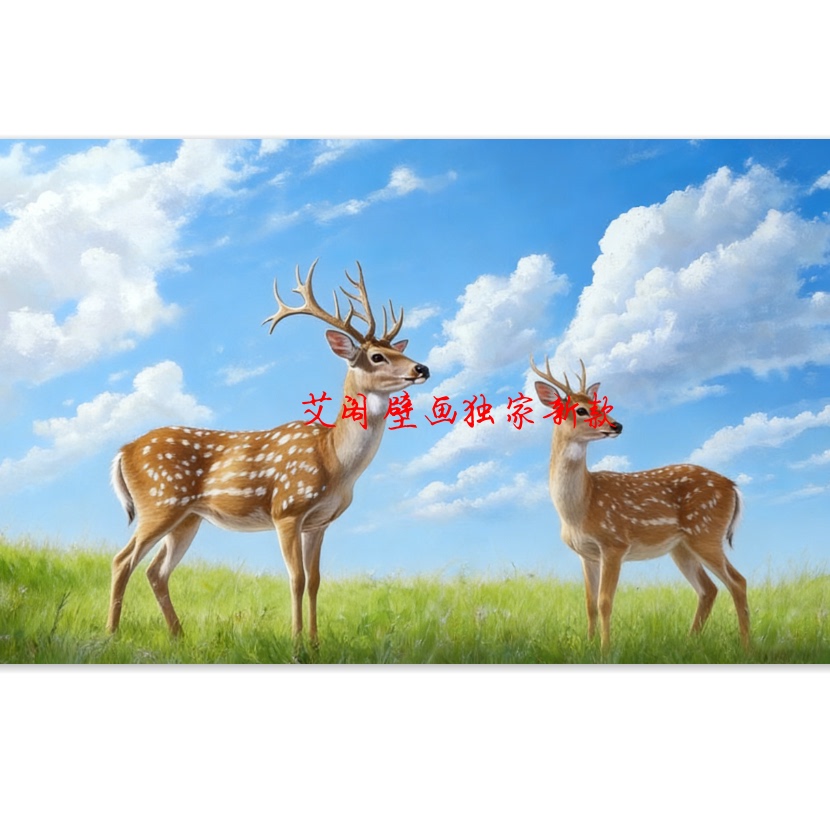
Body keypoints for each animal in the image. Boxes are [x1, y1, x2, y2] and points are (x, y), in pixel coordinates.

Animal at [107, 259, 429, 643]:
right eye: (377, 356)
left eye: (400, 350)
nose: (422, 368)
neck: (334, 461)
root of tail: (123, 450)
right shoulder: (287, 509)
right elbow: (296, 578)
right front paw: (296, 642)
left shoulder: (319, 522)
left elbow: (316, 581)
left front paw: (316, 643)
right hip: (159, 503)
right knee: (122, 560)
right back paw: (110, 634)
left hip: (187, 518)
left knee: (156, 571)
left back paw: (178, 635)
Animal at [530, 356, 750, 654]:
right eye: (581, 409)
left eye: (602, 404)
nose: (617, 425)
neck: (581, 507)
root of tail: (733, 487)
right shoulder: (586, 554)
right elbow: (589, 604)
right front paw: (589, 645)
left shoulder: (614, 543)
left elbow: (605, 601)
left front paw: (605, 651)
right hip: (682, 546)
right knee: (708, 589)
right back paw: (689, 642)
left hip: (706, 532)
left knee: (737, 582)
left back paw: (746, 647)